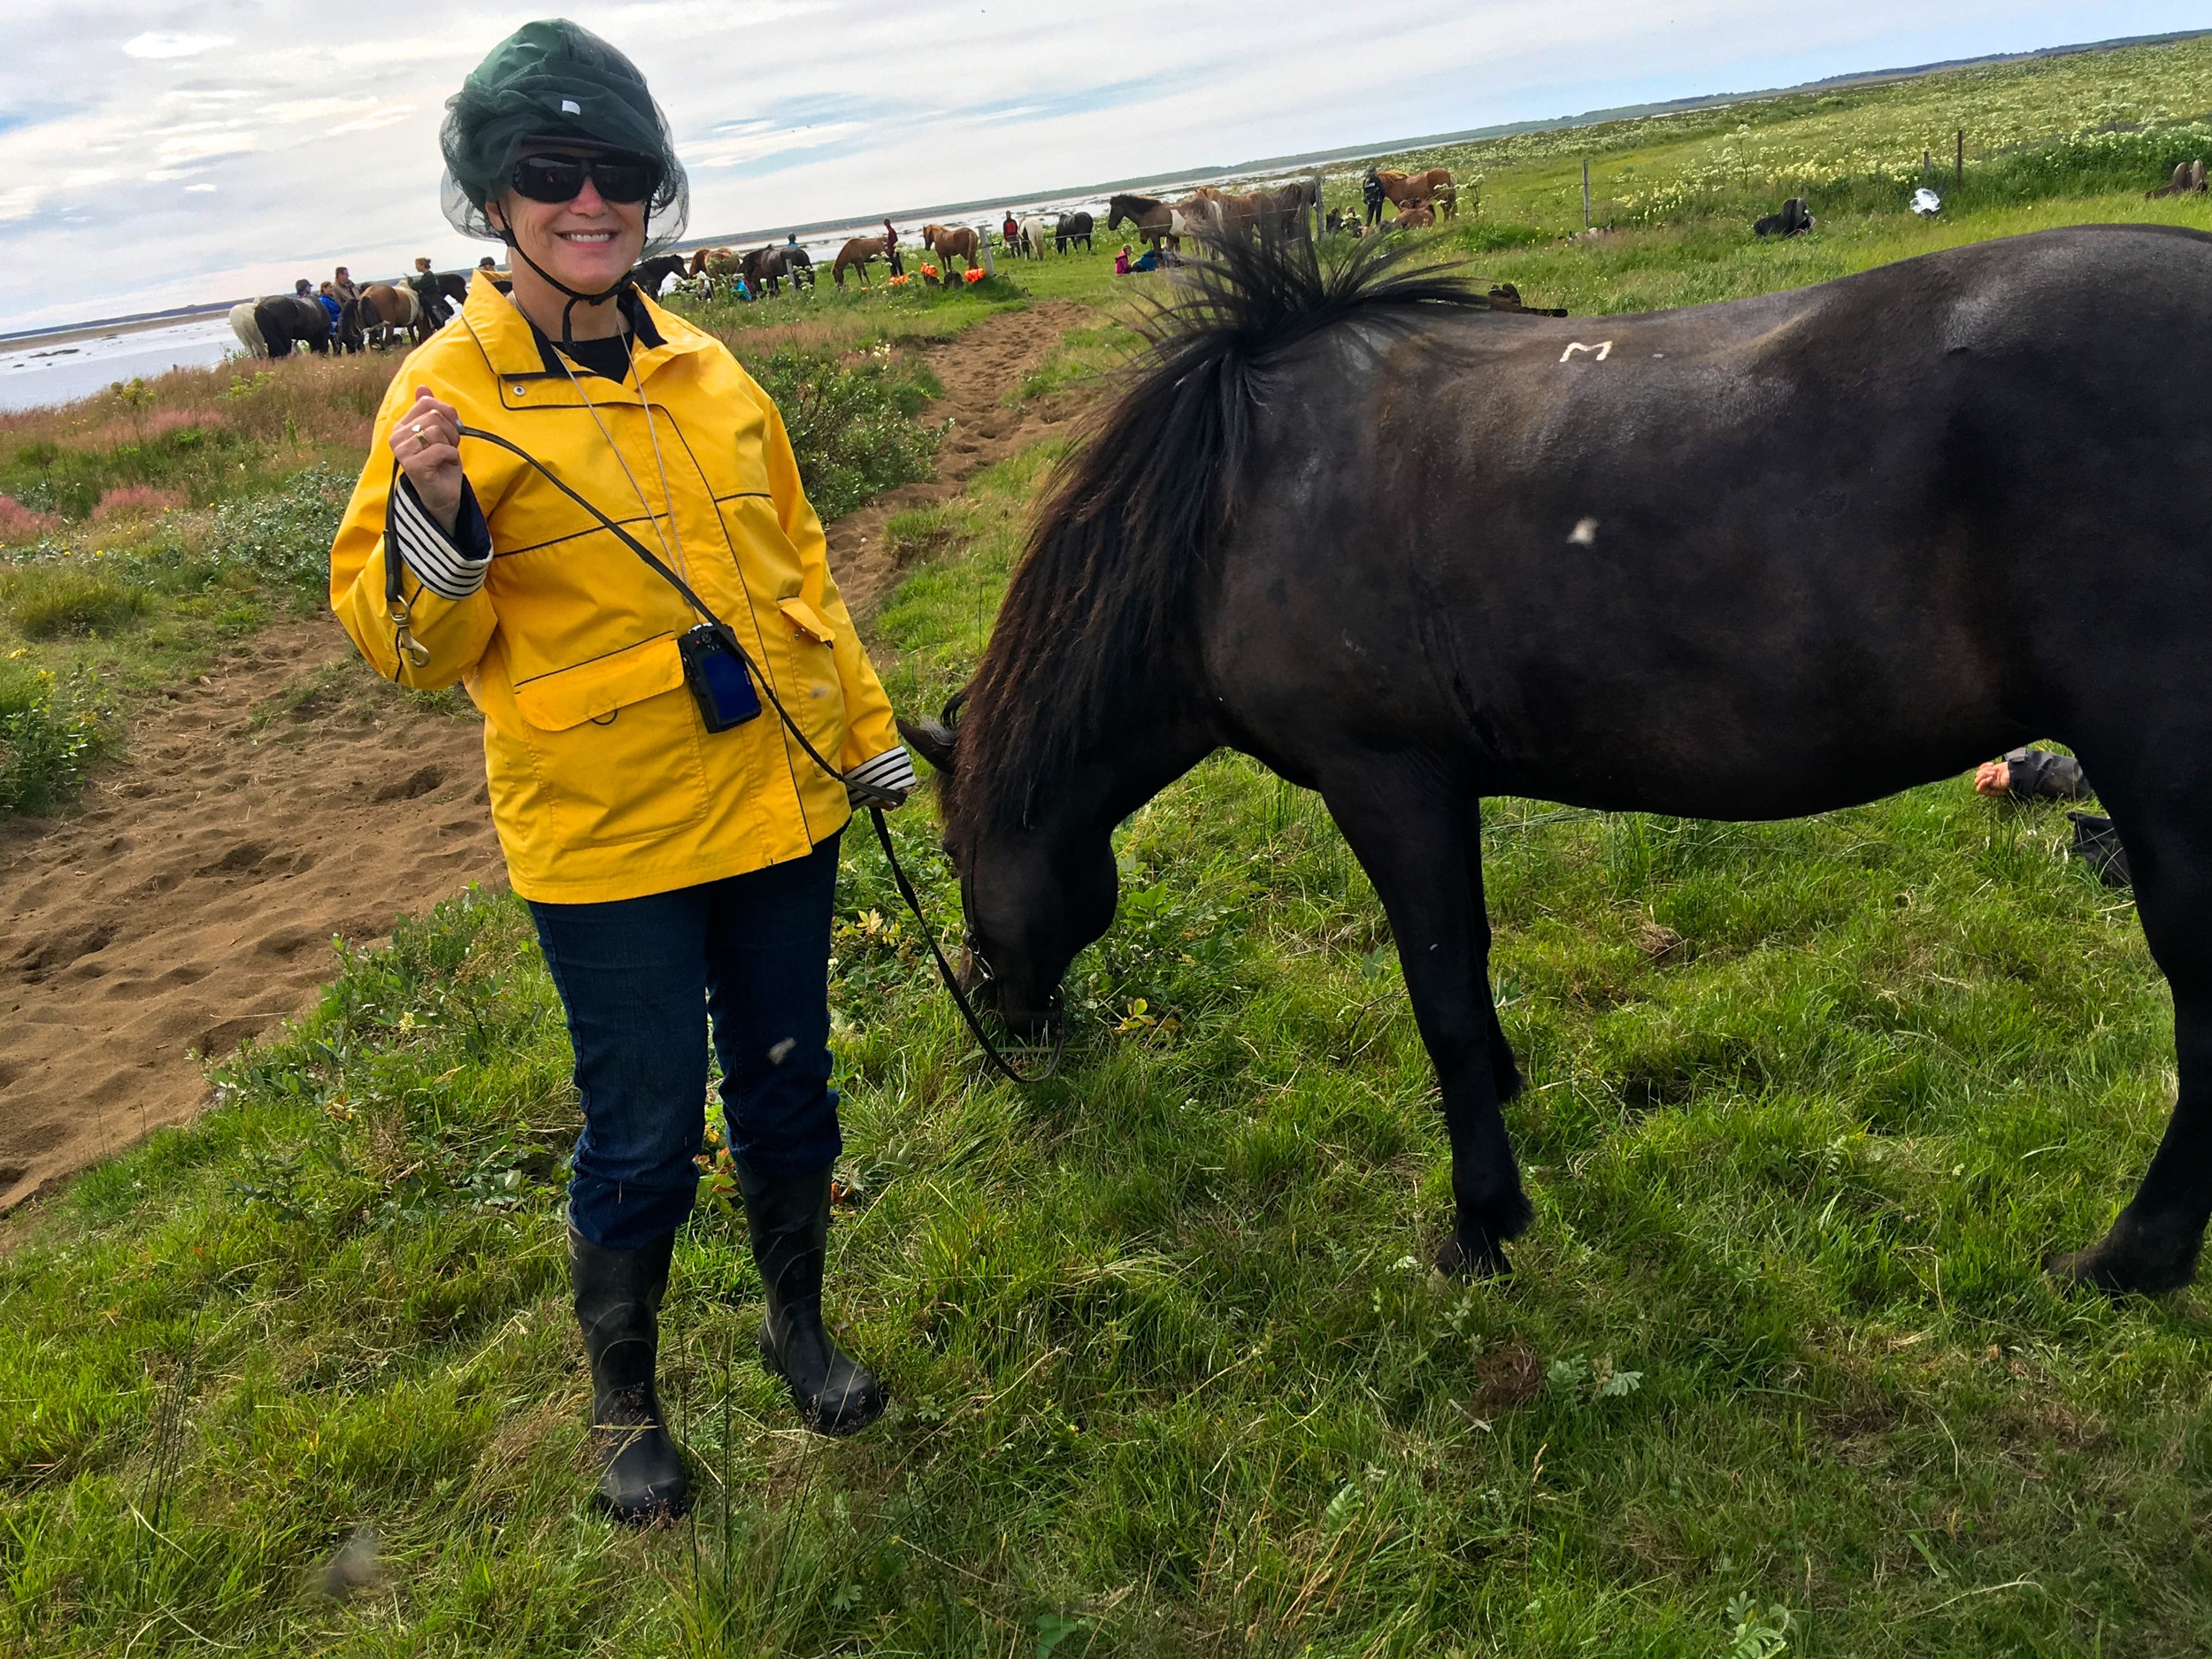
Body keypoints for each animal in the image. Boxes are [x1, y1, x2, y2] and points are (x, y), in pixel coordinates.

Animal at [894, 224, 2212, 1310]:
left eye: (955, 848)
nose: (1006, 1022)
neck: (1230, 503)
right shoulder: (1441, 789)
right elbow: (1468, 972)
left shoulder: (1387, 782)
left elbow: (1439, 1002)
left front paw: (1482, 1220)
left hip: (2162, 785)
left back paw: (2126, 1262)